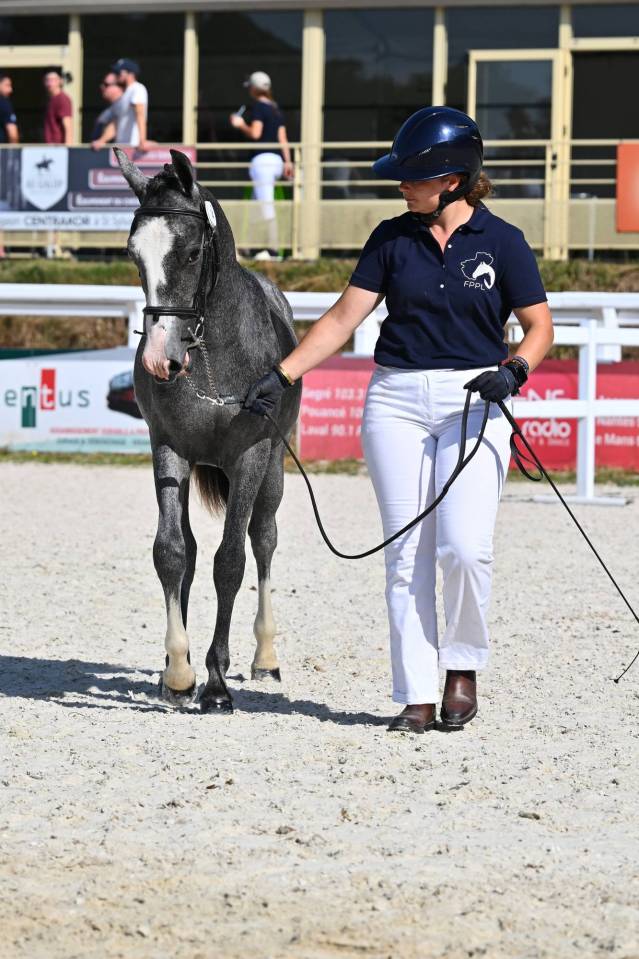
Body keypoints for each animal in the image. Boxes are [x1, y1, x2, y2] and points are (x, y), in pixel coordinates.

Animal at [115, 147, 301, 714]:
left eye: (194, 252)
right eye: (134, 255)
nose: (160, 359)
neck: (213, 359)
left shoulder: (250, 457)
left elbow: (231, 561)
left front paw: (216, 684)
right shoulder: (169, 449)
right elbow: (173, 553)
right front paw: (178, 672)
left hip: (275, 471)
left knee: (263, 540)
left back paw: (265, 657)